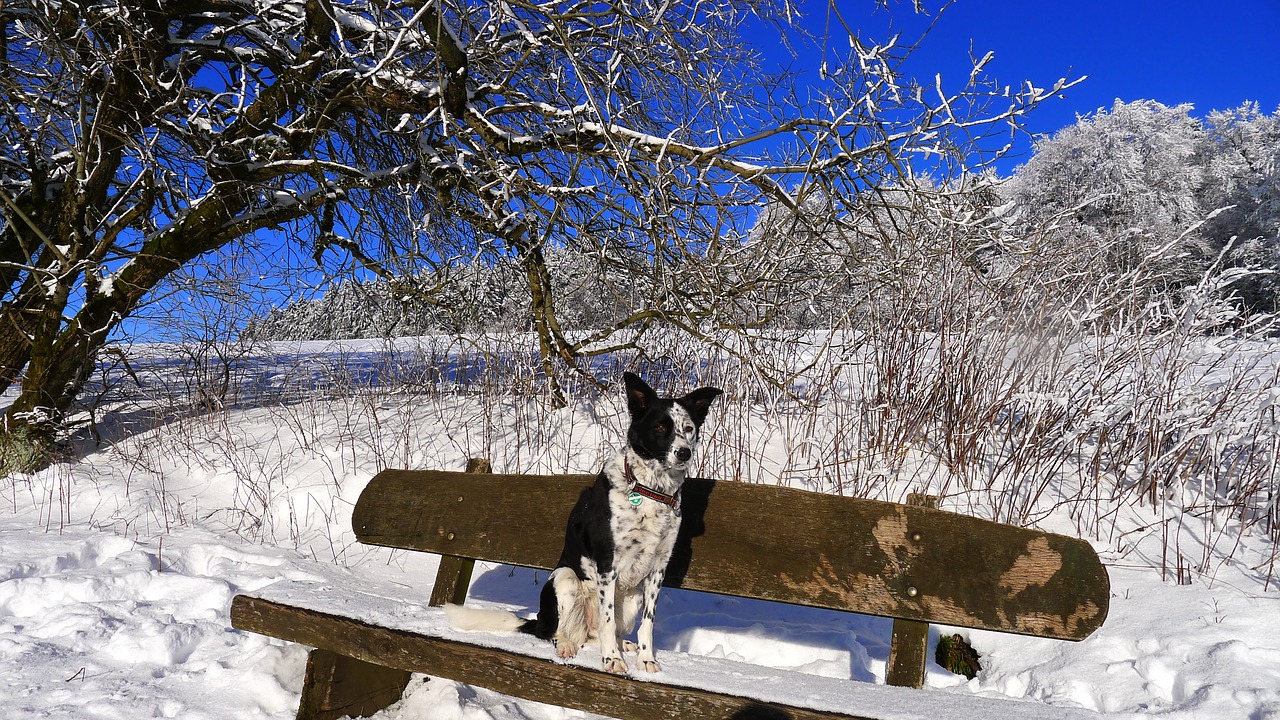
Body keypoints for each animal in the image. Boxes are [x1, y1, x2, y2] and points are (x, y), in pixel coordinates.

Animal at [442, 368, 721, 671]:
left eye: (689, 428)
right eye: (660, 427)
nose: (684, 452)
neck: (650, 490)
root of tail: (540, 621)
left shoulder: (658, 568)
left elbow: (647, 623)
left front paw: (646, 659)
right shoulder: (608, 563)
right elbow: (607, 620)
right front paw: (612, 659)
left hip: (631, 597)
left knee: (598, 633)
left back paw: (623, 644)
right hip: (564, 579)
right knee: (560, 631)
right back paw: (568, 644)